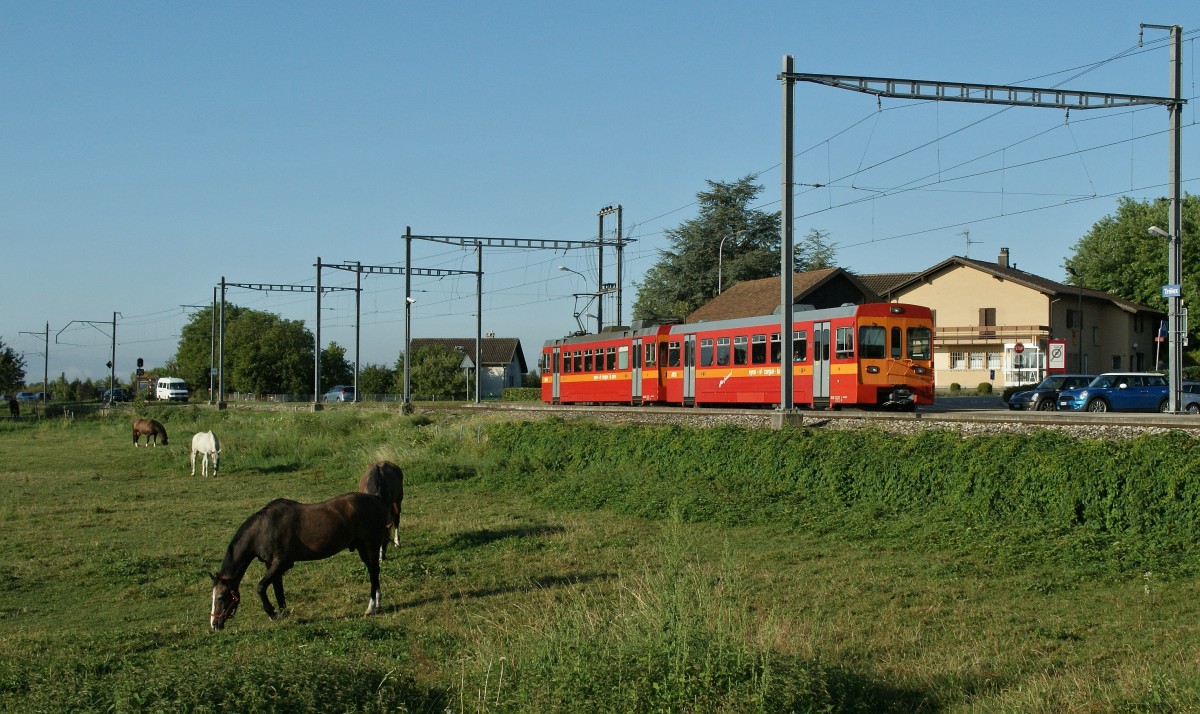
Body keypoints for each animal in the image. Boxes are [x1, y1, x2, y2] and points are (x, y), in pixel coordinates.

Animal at [208, 492, 386, 633]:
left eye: (221, 597)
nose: (214, 624)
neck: (265, 529)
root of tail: (376, 499)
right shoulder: (271, 564)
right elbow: (277, 589)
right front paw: (283, 613)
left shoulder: (283, 563)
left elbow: (260, 587)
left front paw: (272, 613)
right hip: (362, 547)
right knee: (374, 571)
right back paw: (377, 603)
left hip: (370, 545)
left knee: (373, 572)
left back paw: (371, 608)